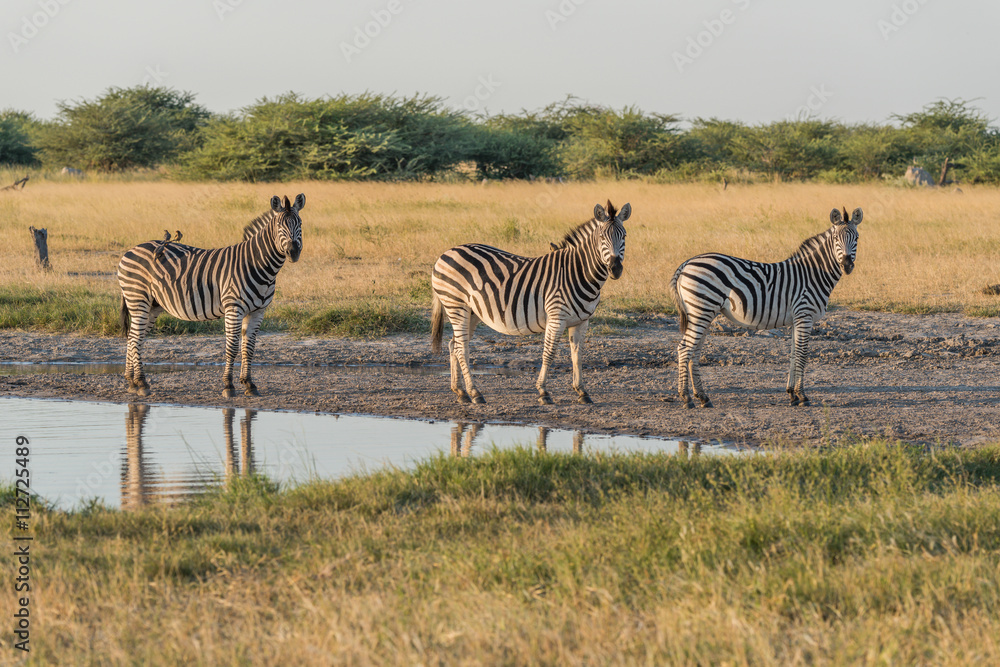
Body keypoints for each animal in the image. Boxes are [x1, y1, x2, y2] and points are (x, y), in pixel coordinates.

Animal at [117, 194, 304, 398]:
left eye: (300, 223)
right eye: (279, 226)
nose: (293, 252)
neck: (257, 264)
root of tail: (131, 250)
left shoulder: (258, 311)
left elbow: (249, 348)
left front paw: (249, 384)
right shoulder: (233, 308)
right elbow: (232, 347)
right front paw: (228, 385)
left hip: (152, 306)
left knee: (134, 338)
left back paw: (132, 381)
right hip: (138, 299)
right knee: (135, 338)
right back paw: (141, 383)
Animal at [431, 200, 629, 405]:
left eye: (624, 236)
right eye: (601, 237)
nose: (615, 269)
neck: (578, 273)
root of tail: (446, 253)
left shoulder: (582, 321)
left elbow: (577, 355)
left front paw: (582, 391)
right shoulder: (556, 317)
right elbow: (549, 353)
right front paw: (543, 392)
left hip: (471, 312)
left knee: (454, 345)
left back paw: (460, 392)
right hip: (456, 305)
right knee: (462, 348)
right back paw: (475, 393)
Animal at [671, 206, 863, 408]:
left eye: (857, 238)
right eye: (836, 239)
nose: (847, 265)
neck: (814, 273)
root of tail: (686, 264)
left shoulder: (797, 319)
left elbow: (794, 354)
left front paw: (792, 394)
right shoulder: (805, 315)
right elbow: (802, 354)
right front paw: (802, 396)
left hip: (703, 313)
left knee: (695, 352)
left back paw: (703, 397)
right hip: (701, 310)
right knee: (684, 349)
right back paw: (686, 398)